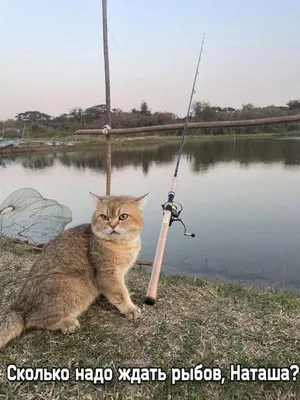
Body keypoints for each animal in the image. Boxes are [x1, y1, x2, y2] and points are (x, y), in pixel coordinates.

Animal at [0, 192, 148, 348]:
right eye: (104, 217)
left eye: (123, 216)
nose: (112, 225)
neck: (123, 244)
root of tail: (18, 307)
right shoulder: (108, 274)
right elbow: (120, 293)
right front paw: (130, 309)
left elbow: (120, 290)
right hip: (77, 285)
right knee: (32, 321)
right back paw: (66, 324)